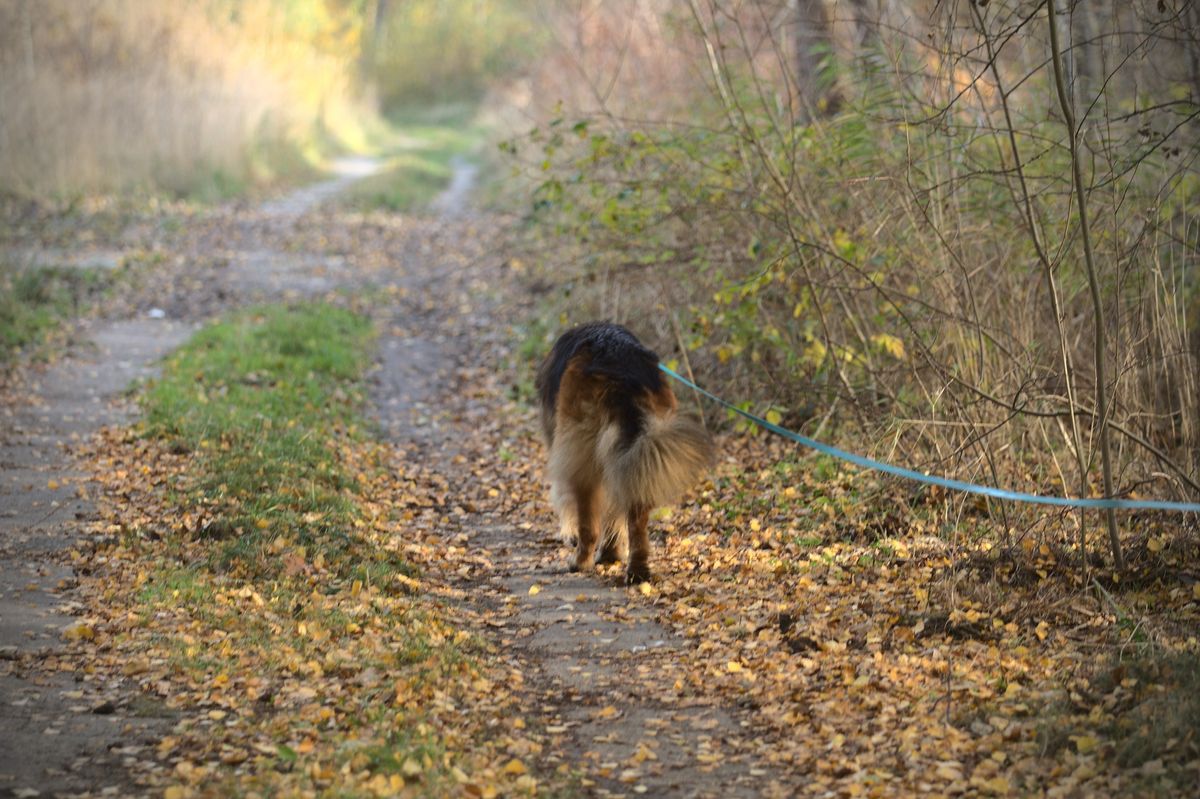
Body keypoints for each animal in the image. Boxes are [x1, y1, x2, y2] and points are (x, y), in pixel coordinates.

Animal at [537, 321, 710, 583]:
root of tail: (622, 370)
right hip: (642, 452)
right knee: (635, 512)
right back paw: (636, 568)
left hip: (585, 455)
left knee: (589, 523)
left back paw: (581, 561)